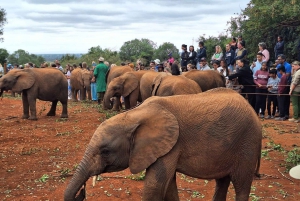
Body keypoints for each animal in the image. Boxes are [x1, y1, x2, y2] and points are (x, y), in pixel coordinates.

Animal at [64, 88, 262, 201]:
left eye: (105, 151)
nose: (82, 193)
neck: (134, 114)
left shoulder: (171, 144)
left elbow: (154, 187)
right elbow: (168, 187)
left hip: (248, 144)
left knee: (241, 186)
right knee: (222, 183)